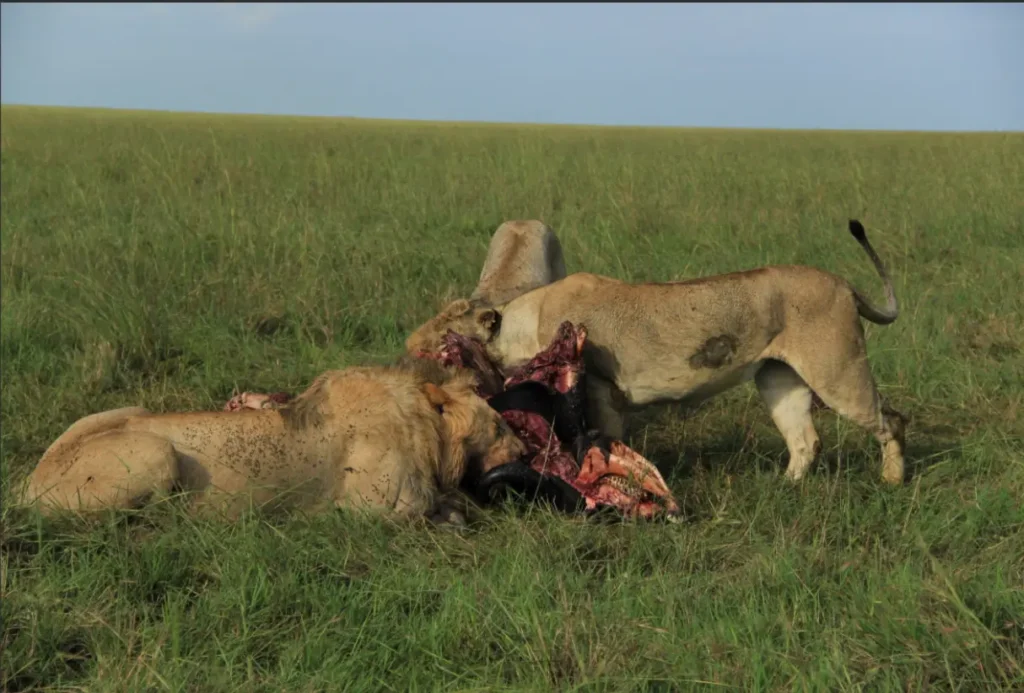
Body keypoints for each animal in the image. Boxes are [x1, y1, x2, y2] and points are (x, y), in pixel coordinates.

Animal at [18, 361, 527, 523]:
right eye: (500, 426)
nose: (525, 452)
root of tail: (28, 484)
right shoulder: (373, 508)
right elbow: (439, 509)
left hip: (131, 412)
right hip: (155, 453)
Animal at [405, 220, 908, 485]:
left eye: (446, 328)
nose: (408, 343)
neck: (522, 322)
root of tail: (844, 284)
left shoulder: (601, 389)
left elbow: (606, 443)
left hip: (839, 372)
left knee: (892, 420)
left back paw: (892, 480)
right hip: (779, 380)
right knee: (805, 440)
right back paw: (786, 489)